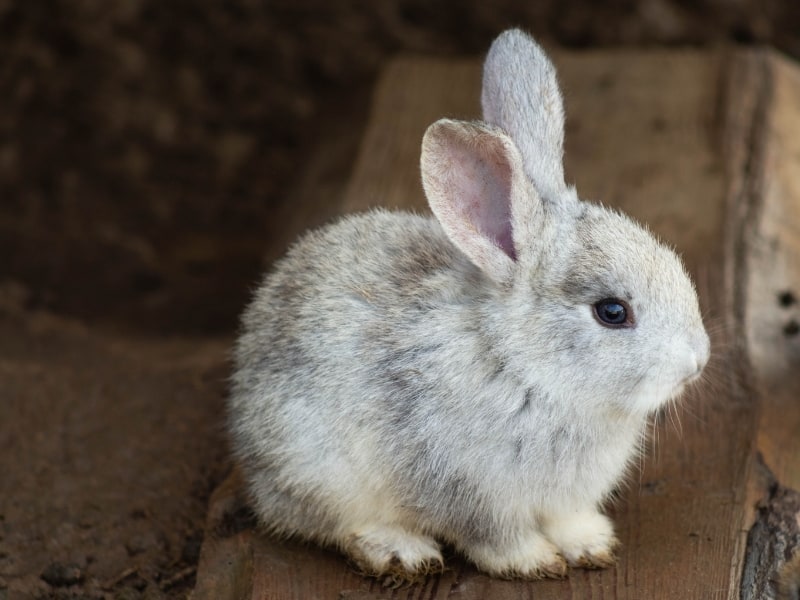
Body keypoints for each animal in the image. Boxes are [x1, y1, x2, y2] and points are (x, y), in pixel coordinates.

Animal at [228, 28, 708, 580]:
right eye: (612, 312)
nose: (698, 360)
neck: (522, 367)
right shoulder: (467, 491)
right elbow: (494, 538)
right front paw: (534, 562)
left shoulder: (563, 499)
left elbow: (568, 520)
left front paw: (591, 545)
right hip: (318, 469)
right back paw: (401, 551)